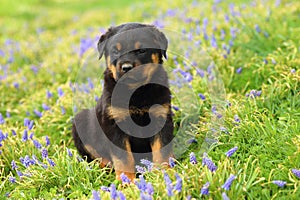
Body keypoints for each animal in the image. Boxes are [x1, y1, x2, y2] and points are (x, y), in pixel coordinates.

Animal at [72, 22, 173, 181]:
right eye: (115, 51)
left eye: (141, 50)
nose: (126, 67)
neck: (136, 91)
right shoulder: (115, 125)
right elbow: (124, 158)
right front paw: (127, 182)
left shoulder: (161, 117)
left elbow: (161, 151)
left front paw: (165, 175)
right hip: (80, 122)